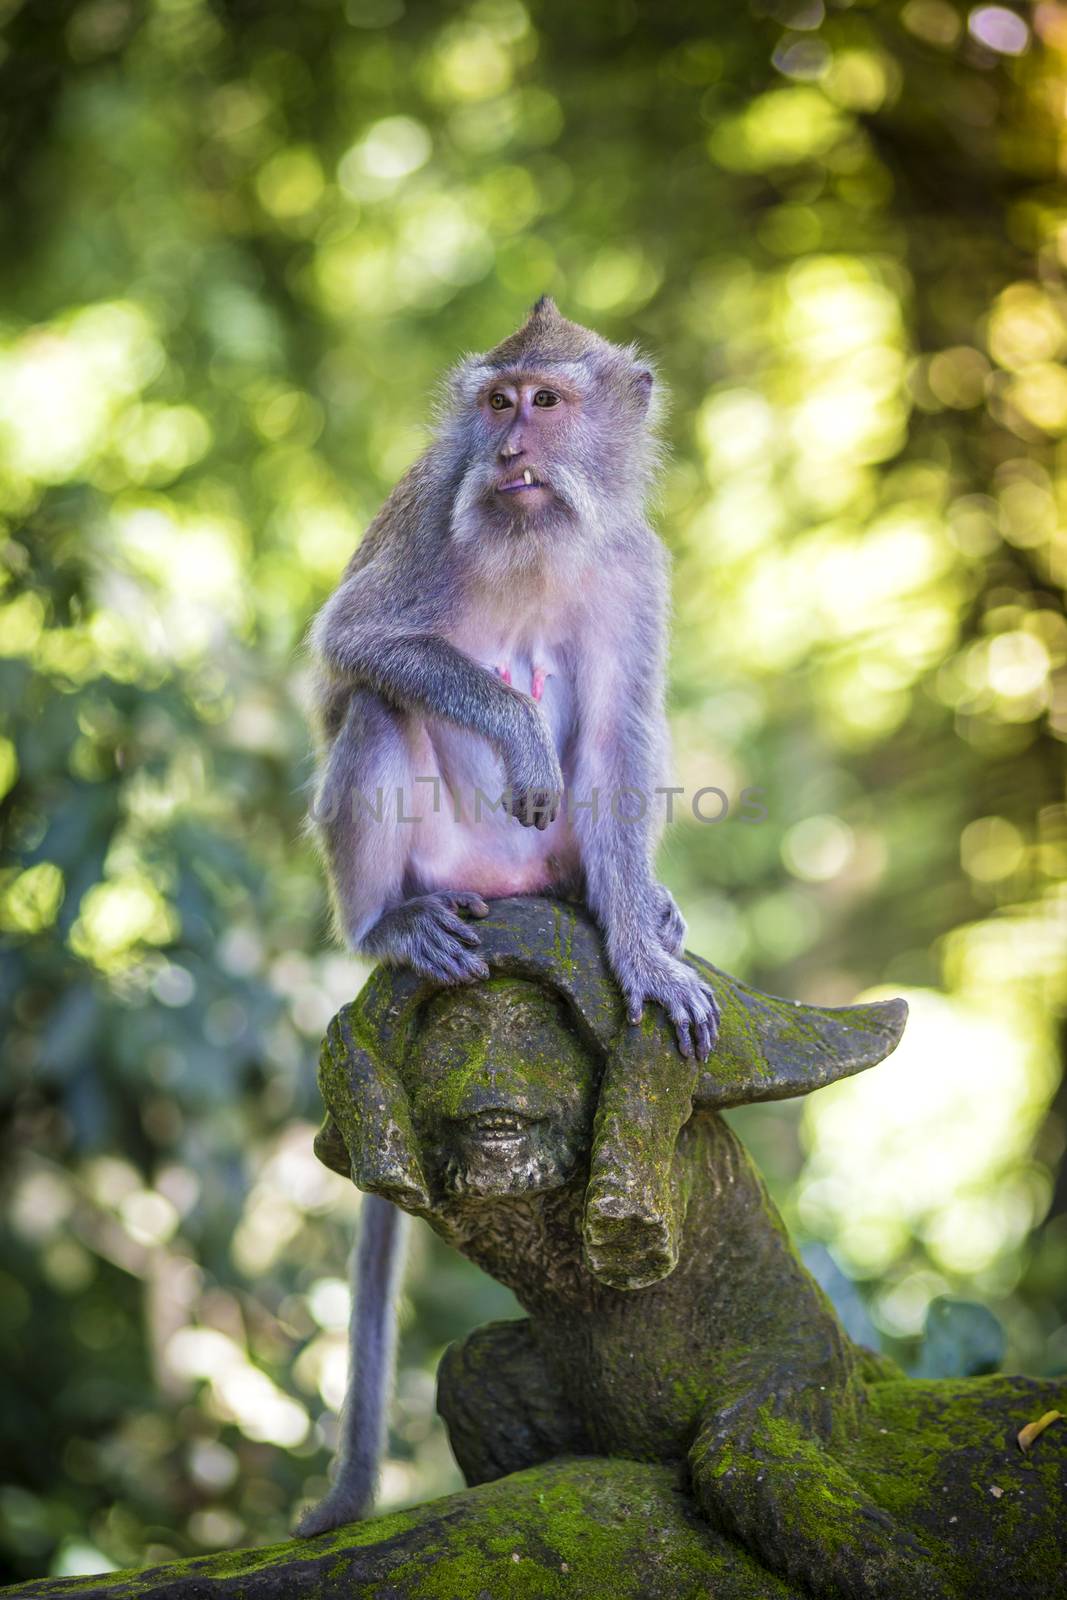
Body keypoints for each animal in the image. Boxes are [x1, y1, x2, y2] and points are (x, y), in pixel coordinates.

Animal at [295, 297, 723, 1536]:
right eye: (495, 402)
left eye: (546, 400)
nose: (511, 450)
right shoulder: (427, 517)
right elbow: (356, 645)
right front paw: (520, 737)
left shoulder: (636, 566)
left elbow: (622, 730)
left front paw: (639, 950)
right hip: (445, 858)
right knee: (377, 711)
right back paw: (388, 926)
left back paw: (619, 901)